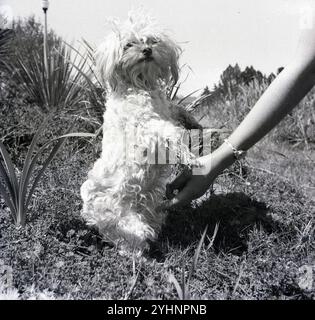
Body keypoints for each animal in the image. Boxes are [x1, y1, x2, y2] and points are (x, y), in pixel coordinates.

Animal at [80, 11, 201, 254]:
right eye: (128, 44)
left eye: (152, 41)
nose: (147, 51)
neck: (141, 83)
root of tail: (91, 217)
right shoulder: (148, 125)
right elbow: (173, 134)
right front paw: (190, 158)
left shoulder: (166, 110)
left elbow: (177, 110)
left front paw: (194, 122)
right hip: (130, 228)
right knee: (131, 250)